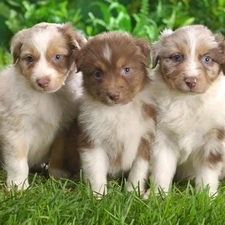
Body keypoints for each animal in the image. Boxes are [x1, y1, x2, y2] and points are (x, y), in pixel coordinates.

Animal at [0, 22, 86, 190]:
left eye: (57, 57)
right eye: (29, 58)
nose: (42, 82)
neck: (46, 98)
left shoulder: (62, 129)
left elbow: (59, 153)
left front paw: (58, 174)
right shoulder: (15, 129)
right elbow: (18, 161)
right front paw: (18, 185)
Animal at [74, 32, 156, 197]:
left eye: (126, 69)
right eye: (98, 73)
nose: (113, 95)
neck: (118, 111)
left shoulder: (144, 139)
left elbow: (138, 170)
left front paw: (132, 193)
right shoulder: (91, 139)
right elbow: (95, 170)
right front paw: (99, 195)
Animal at [146, 25, 225, 197]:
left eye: (207, 59)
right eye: (177, 57)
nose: (191, 80)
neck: (188, 101)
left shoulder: (213, 138)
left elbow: (207, 172)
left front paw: (206, 197)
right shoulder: (163, 137)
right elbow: (162, 168)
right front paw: (158, 194)